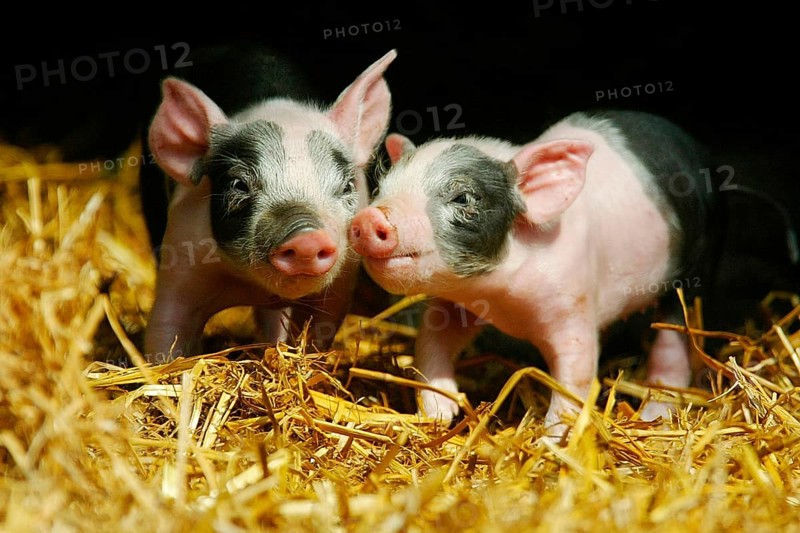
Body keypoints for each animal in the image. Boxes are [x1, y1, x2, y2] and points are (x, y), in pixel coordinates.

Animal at [141, 46, 396, 363]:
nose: (306, 237)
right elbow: (165, 333)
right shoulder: (180, 261)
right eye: (239, 185)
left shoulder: (340, 286)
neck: (253, 288)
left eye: (346, 185)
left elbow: (318, 330)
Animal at [349, 110, 719, 436]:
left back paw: (654, 414)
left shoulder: (573, 303)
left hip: (694, 272)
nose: (368, 218)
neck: (506, 304)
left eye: (463, 197)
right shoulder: (456, 303)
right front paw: (440, 413)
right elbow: (431, 340)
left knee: (673, 341)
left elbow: (576, 375)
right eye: (381, 189)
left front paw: (549, 441)